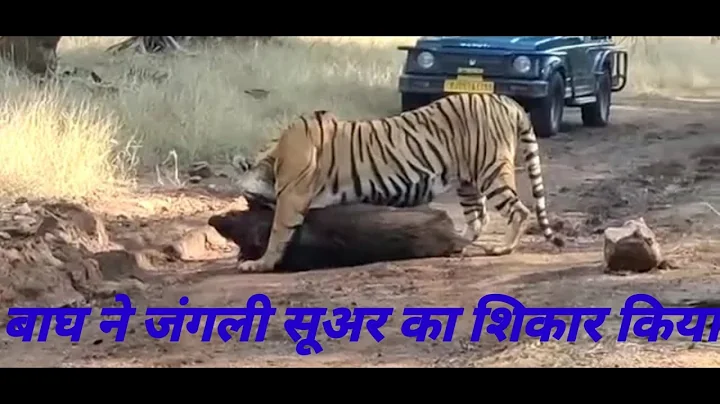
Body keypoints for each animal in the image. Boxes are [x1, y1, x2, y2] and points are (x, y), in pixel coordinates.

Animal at [234, 93, 565, 272]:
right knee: (478, 218)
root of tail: (504, 99)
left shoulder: (291, 198)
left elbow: (278, 232)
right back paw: (461, 244)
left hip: (491, 170)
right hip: (468, 181)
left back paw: (502, 249)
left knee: (518, 210)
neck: (274, 157)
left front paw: (260, 264)